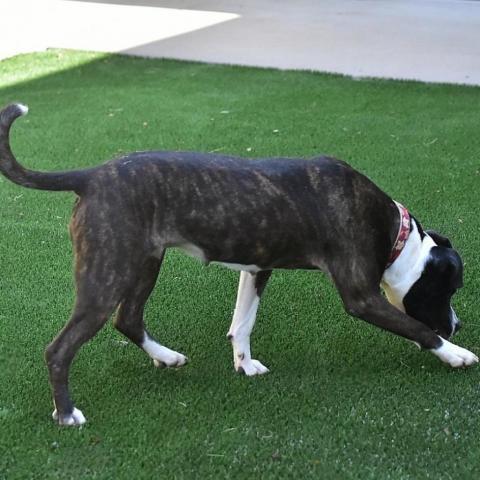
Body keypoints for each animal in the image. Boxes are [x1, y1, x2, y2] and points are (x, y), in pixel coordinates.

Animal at [0, 103, 477, 426]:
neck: (395, 234)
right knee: (61, 348)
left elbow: (242, 323)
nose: (456, 325)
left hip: (144, 262)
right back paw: (66, 414)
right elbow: (416, 328)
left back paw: (165, 356)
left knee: (129, 319)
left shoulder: (257, 267)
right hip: (106, 275)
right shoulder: (360, 297)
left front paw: (244, 363)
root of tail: (92, 175)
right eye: (450, 288)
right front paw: (454, 354)